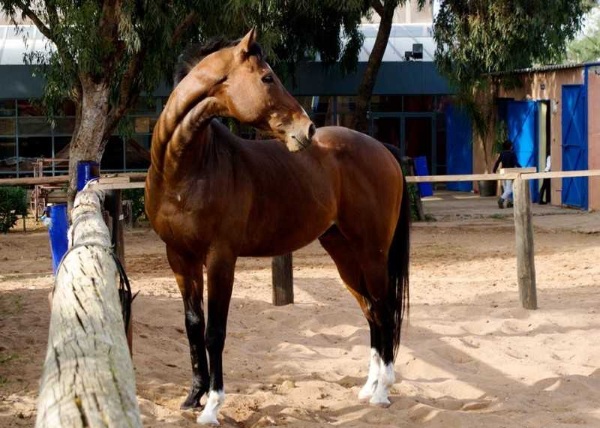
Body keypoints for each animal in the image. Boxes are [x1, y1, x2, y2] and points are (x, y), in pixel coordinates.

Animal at [145, 30, 410, 424]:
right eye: (268, 77)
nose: (307, 128)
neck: (184, 170)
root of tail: (382, 148)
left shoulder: (220, 259)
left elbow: (215, 331)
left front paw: (212, 405)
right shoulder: (179, 257)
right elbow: (193, 325)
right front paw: (192, 397)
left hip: (373, 252)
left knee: (383, 308)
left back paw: (382, 392)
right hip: (344, 253)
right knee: (370, 311)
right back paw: (368, 387)